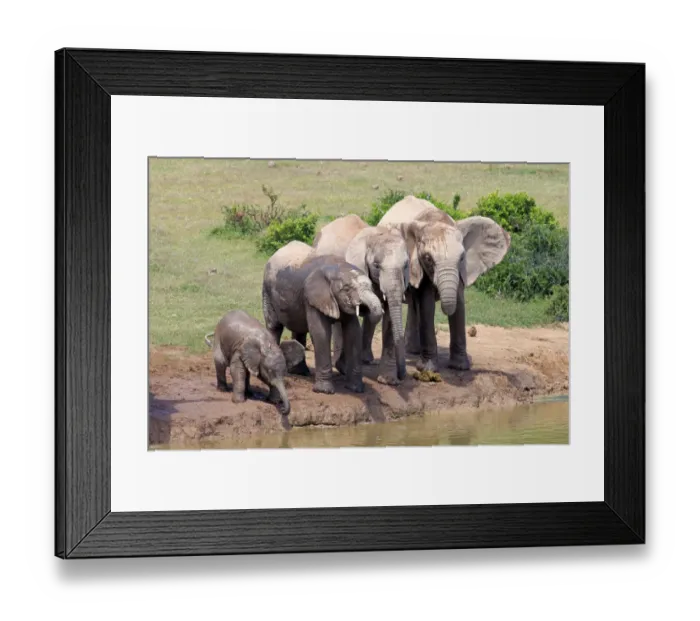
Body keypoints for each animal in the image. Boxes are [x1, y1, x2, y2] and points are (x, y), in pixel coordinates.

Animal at [262, 240, 384, 395]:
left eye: (371, 287)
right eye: (347, 289)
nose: (365, 308)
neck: (336, 267)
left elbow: (353, 333)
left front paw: (356, 389)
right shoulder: (313, 297)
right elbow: (321, 333)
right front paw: (324, 391)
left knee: (299, 329)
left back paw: (301, 373)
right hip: (267, 291)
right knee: (274, 327)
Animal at [313, 214, 410, 385]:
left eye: (405, 265)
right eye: (376, 265)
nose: (402, 375)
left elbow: (390, 318)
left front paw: (389, 381)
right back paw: (342, 366)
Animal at [378, 195, 511, 373]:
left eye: (462, 257)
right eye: (428, 258)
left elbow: (459, 303)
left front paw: (460, 367)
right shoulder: (418, 265)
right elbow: (426, 305)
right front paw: (427, 369)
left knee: (413, 305)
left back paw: (413, 351)